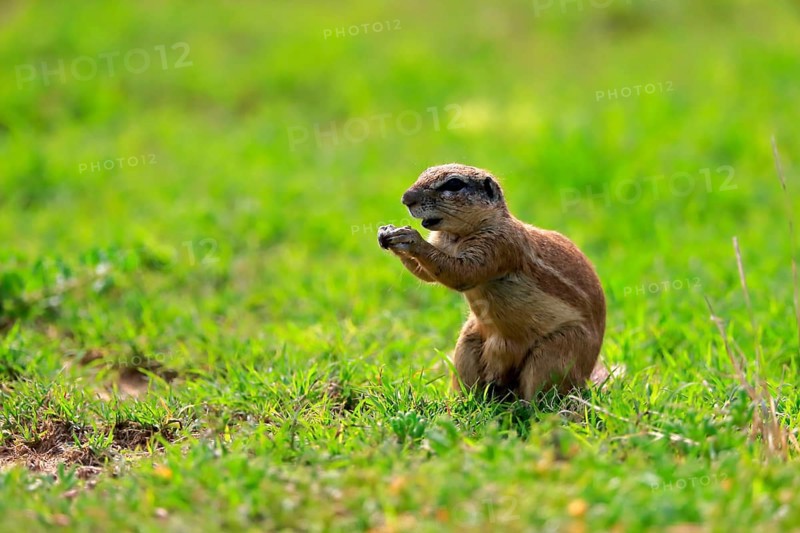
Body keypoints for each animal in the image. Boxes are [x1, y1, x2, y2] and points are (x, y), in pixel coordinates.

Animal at [378, 163, 607, 400]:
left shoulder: (499, 245)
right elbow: (427, 275)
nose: (406, 199)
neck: (456, 237)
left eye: (454, 184)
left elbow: (461, 273)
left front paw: (411, 239)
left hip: (557, 351)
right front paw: (387, 233)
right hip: (467, 343)